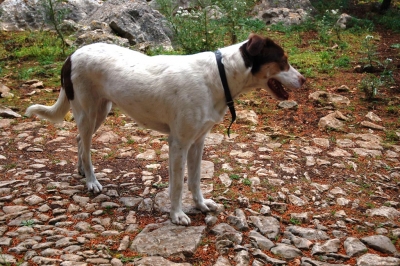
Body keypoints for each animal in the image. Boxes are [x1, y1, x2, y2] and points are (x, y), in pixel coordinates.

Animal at [25, 33, 306, 224]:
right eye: (283, 60)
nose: (304, 80)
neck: (220, 75)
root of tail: (71, 55)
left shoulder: (198, 142)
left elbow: (195, 180)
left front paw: (201, 205)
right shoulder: (178, 143)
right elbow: (179, 185)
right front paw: (177, 215)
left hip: (100, 112)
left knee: (79, 141)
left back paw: (82, 172)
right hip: (88, 112)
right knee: (86, 145)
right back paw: (92, 181)